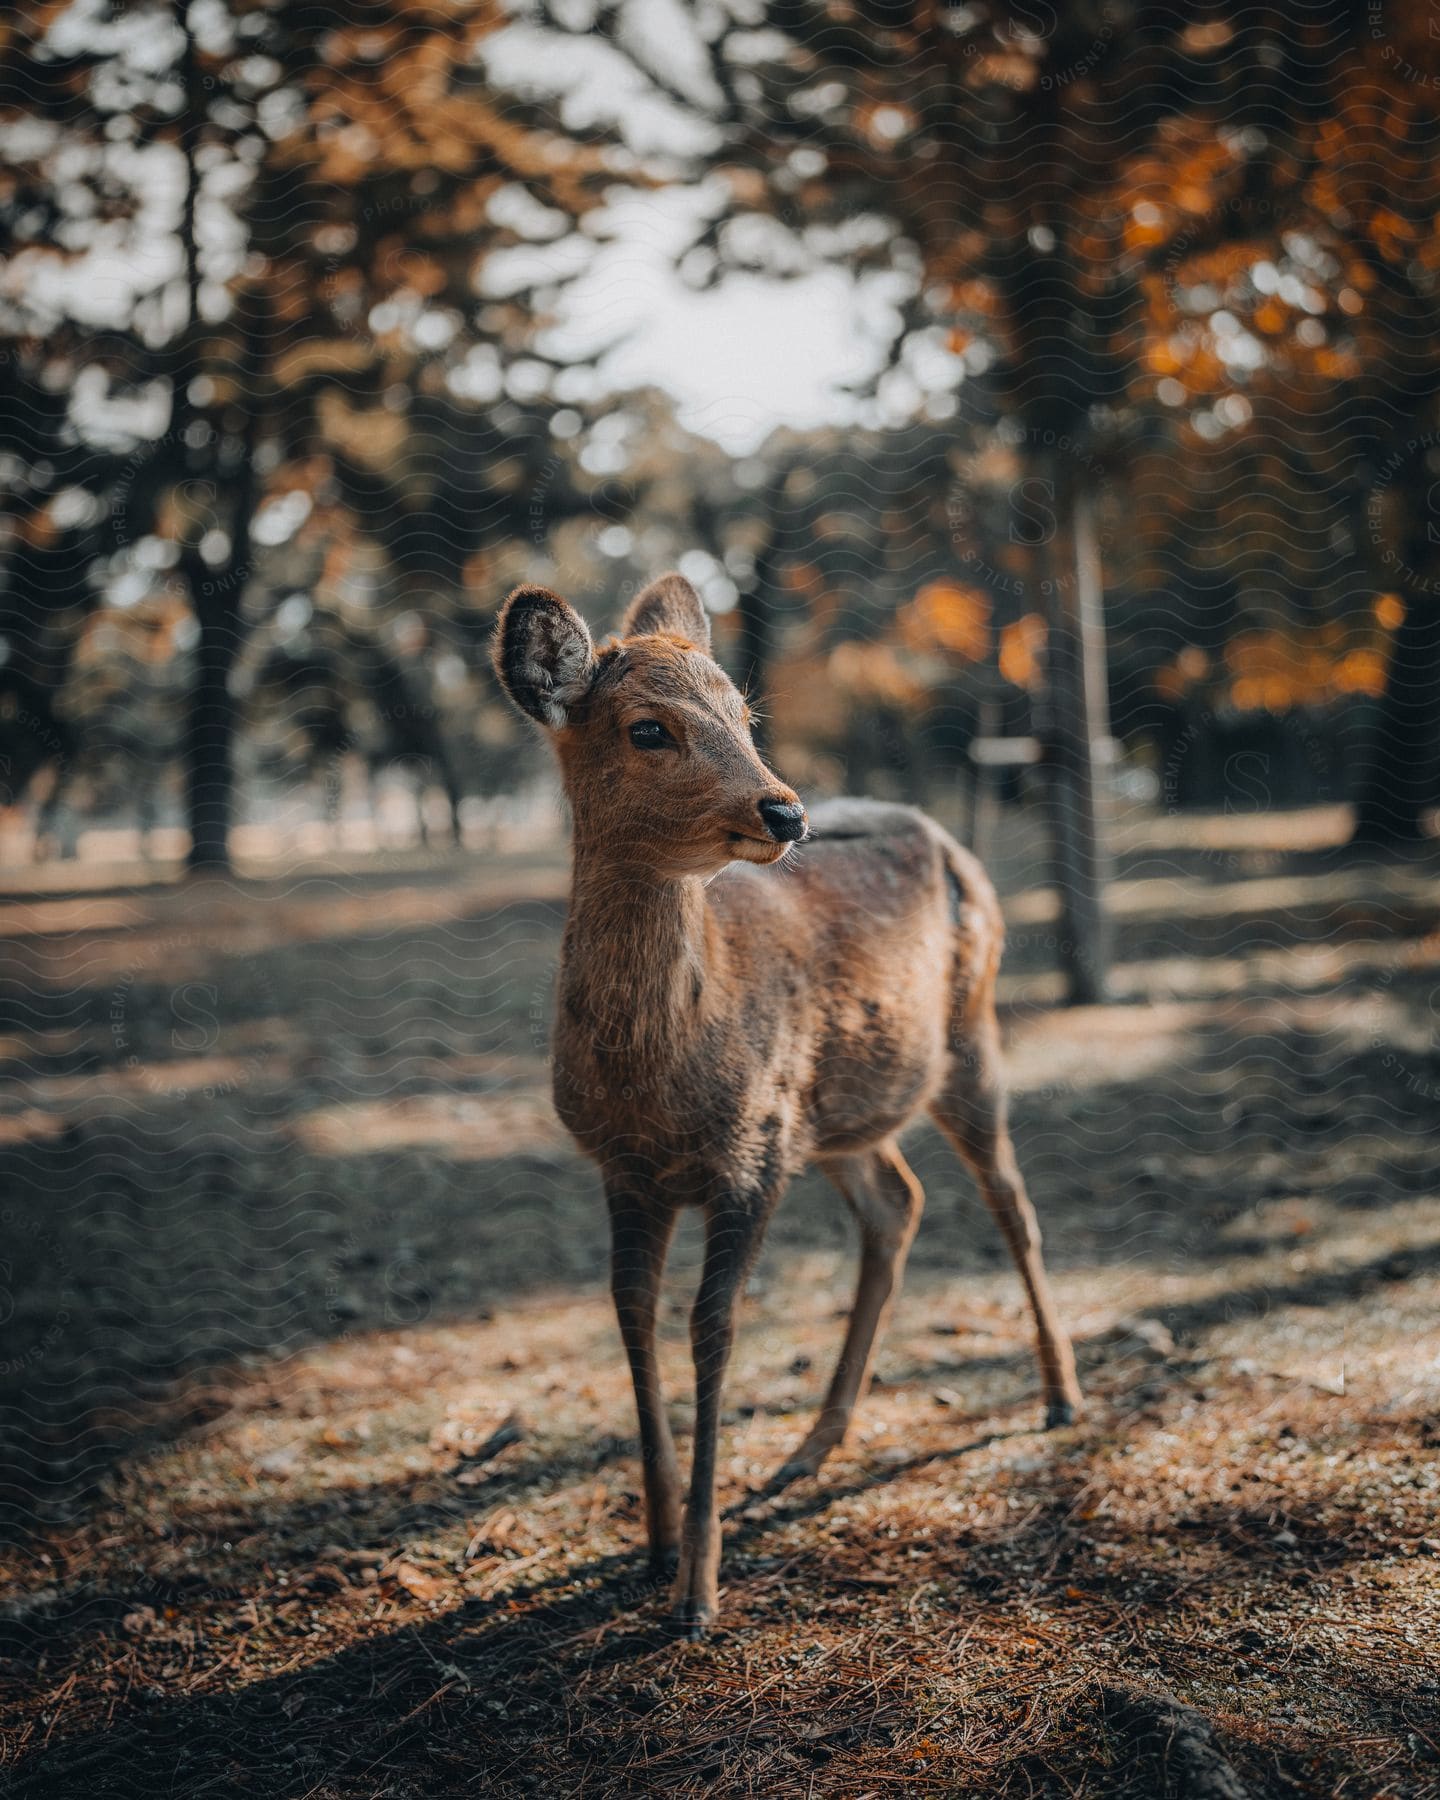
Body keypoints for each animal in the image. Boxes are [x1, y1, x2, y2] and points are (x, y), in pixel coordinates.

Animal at [496, 572, 1080, 1634]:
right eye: (649, 728)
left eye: (744, 713)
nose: (785, 812)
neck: (663, 1082)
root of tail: (950, 840)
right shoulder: (623, 1167)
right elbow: (631, 1311)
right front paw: (652, 1546)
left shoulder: (752, 1154)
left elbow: (712, 1329)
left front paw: (698, 1588)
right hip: (838, 1111)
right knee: (899, 1204)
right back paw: (811, 1449)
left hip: (968, 1036)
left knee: (1010, 1202)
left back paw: (1061, 1396)